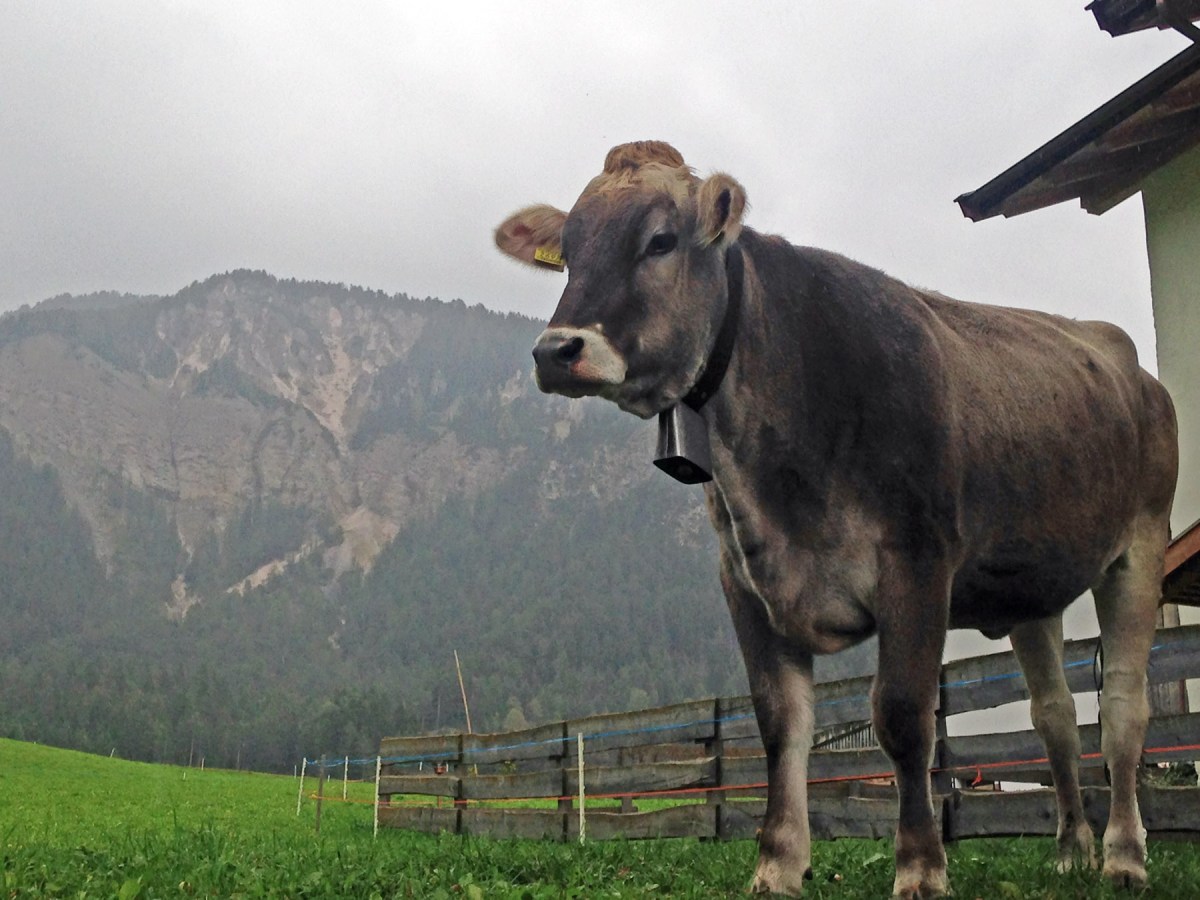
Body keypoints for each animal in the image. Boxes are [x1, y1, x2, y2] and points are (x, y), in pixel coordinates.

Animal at [494, 141, 1178, 897]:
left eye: (661, 240)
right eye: (570, 251)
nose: (555, 351)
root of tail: (1130, 363)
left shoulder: (916, 562)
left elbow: (903, 717)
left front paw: (920, 866)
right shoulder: (744, 579)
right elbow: (780, 723)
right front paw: (778, 862)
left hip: (1141, 542)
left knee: (1122, 705)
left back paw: (1123, 854)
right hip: (1032, 587)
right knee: (1054, 712)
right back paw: (1070, 848)